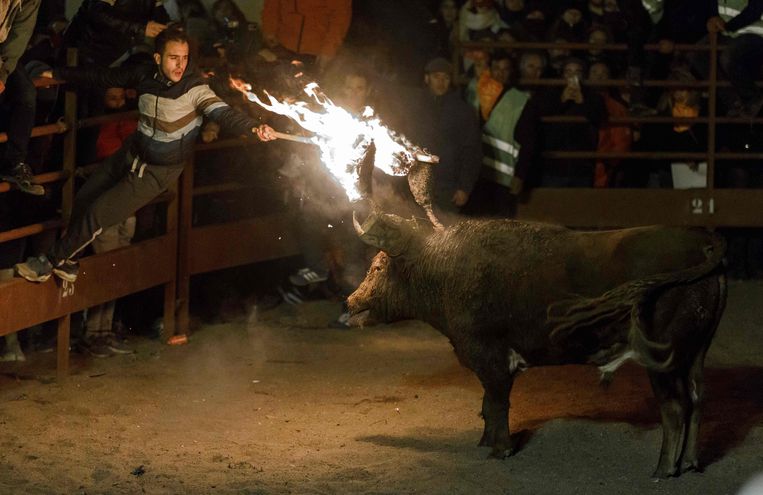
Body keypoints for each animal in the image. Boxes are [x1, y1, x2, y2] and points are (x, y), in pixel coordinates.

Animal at [348, 214, 728, 480]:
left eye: (379, 266)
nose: (351, 302)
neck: (445, 268)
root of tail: (703, 245)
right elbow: (488, 405)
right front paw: (486, 442)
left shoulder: (492, 360)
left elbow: (497, 404)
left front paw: (499, 449)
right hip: (695, 356)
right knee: (697, 401)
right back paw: (690, 462)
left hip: (663, 361)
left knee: (675, 409)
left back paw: (663, 470)